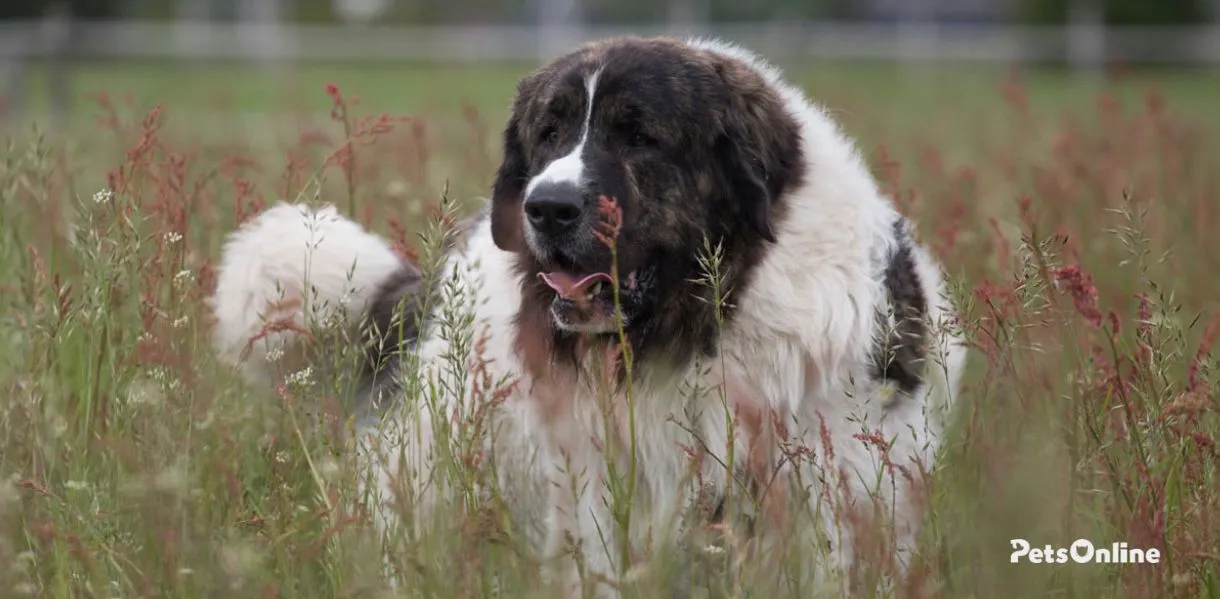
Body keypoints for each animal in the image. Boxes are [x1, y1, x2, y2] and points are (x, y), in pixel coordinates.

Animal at [212, 36, 971, 595]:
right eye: (548, 133)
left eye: (639, 137)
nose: (546, 207)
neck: (696, 332)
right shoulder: (599, 498)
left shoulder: (833, 491)